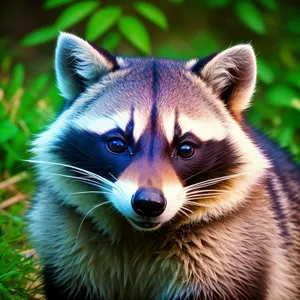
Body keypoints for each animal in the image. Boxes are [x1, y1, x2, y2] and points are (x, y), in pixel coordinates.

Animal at [27, 32, 298, 300]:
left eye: (186, 149)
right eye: (117, 144)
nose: (149, 203)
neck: (139, 235)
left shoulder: (233, 251)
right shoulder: (64, 245)